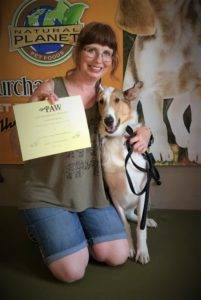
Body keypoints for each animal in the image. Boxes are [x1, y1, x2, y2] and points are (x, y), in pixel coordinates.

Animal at [97, 82, 157, 262]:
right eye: (101, 101)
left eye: (117, 100)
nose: (108, 119)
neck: (118, 140)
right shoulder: (113, 195)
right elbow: (124, 225)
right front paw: (130, 248)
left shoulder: (143, 191)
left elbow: (140, 229)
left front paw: (142, 251)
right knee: (130, 215)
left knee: (138, 217)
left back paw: (148, 221)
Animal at [115, 0, 201, 164]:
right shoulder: (149, 91)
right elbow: (157, 124)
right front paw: (161, 150)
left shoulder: (198, 86)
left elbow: (197, 124)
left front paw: (197, 150)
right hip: (131, 89)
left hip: (184, 92)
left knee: (172, 111)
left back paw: (183, 138)